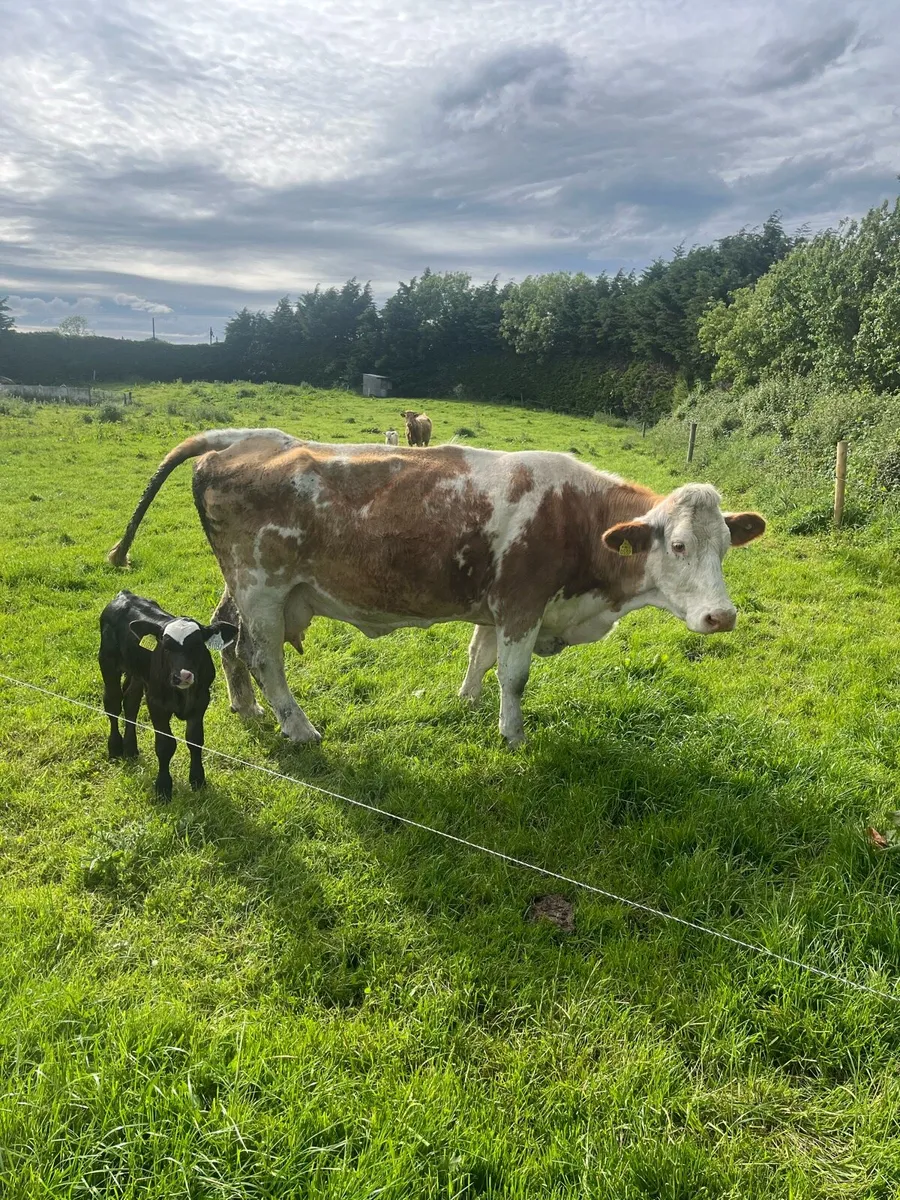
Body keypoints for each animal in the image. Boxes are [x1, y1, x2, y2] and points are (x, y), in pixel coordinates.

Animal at [99, 590, 237, 798]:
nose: (182, 676)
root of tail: (124, 595)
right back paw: (115, 748)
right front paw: (163, 788)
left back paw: (130, 749)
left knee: (131, 702)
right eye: (165, 646)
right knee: (113, 704)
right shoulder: (157, 703)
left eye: (198, 645)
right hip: (107, 663)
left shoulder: (201, 700)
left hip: (138, 673)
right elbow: (165, 745)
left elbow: (195, 739)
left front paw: (198, 780)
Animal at [107, 430, 765, 749]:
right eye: (676, 546)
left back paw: (245, 707)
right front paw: (512, 735)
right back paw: (298, 728)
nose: (722, 616)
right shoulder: (523, 603)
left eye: (725, 547)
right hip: (263, 586)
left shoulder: (496, 605)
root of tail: (234, 445)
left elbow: (480, 656)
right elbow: (514, 677)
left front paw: (468, 703)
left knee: (229, 637)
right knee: (261, 654)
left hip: (244, 587)